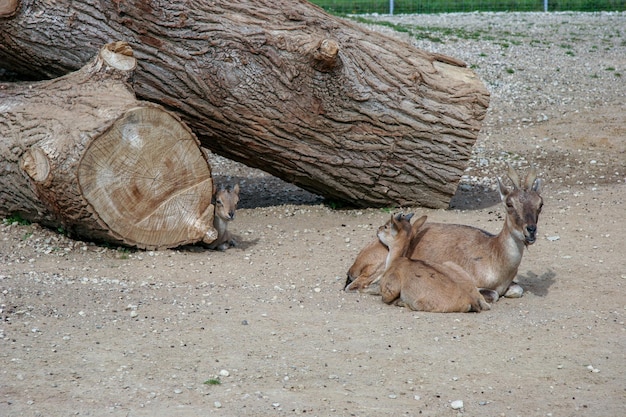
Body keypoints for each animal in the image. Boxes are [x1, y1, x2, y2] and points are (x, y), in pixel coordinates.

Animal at [346, 166, 540, 300]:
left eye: (540, 203)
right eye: (509, 203)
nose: (530, 231)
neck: (494, 255)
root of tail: (355, 265)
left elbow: (517, 289)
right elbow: (491, 294)